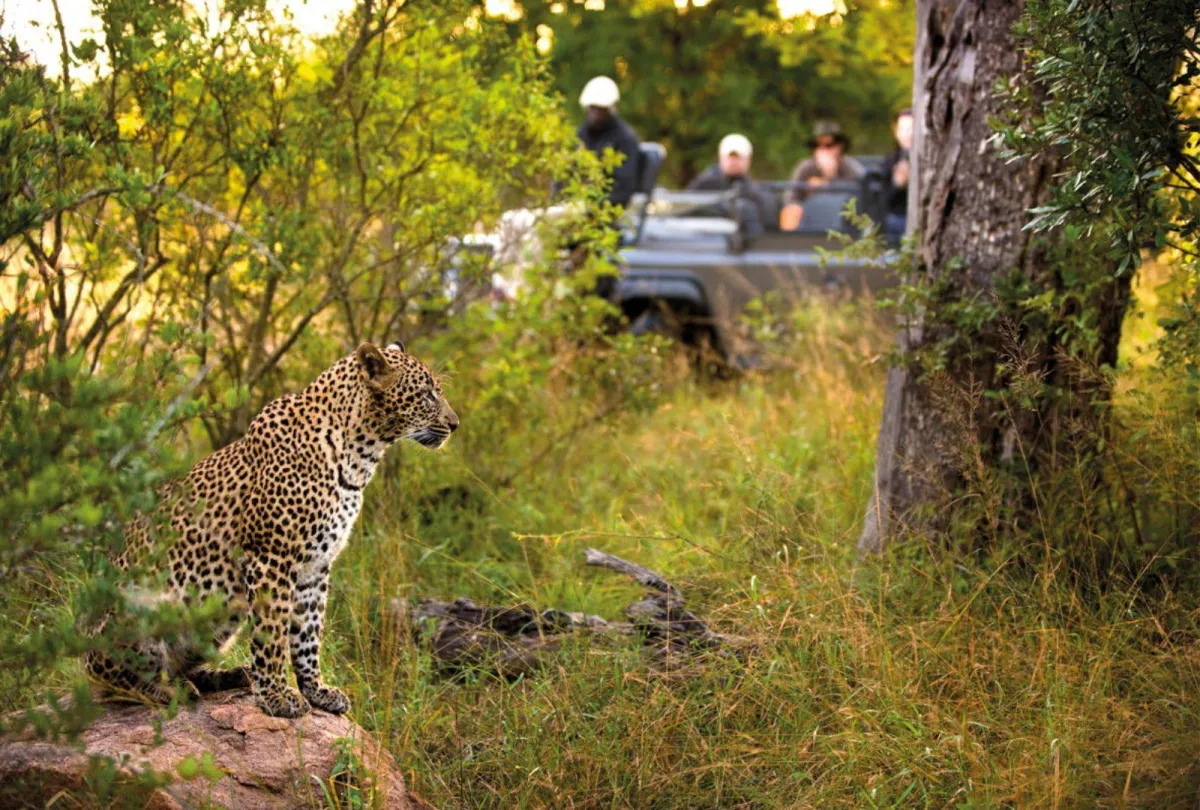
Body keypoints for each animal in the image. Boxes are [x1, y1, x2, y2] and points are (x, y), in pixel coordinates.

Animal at [85, 341, 458, 718]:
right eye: (426, 394)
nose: (455, 424)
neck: (359, 457)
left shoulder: (315, 567)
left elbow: (308, 633)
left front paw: (316, 691)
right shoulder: (271, 558)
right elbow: (273, 633)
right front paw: (277, 696)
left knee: (180, 665)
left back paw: (229, 675)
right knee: (110, 676)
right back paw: (167, 691)